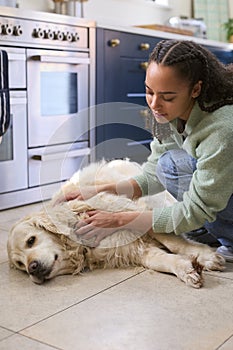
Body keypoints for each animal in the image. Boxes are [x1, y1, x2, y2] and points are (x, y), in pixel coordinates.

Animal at [7, 160, 225, 288]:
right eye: (20, 264)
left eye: (31, 240)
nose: (32, 269)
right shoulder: (132, 249)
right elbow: (161, 260)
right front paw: (187, 270)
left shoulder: (134, 211)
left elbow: (173, 242)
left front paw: (206, 257)